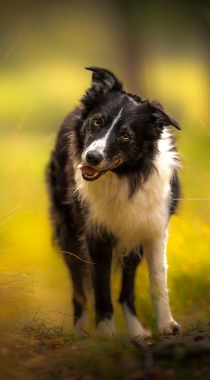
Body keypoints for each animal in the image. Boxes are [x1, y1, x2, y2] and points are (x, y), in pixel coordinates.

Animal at [46, 67, 181, 336]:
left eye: (126, 135)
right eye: (97, 121)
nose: (92, 157)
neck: (124, 176)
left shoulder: (153, 229)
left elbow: (158, 280)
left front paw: (165, 325)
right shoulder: (95, 234)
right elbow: (101, 289)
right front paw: (107, 335)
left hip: (132, 240)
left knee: (126, 290)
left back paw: (137, 331)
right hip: (69, 233)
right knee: (79, 289)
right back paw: (80, 331)